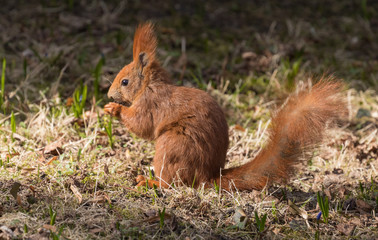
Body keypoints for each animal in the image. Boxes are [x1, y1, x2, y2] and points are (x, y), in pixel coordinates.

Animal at [103, 23, 346, 191]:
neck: (148, 86)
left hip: (172, 146)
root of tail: (207, 177)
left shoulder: (151, 103)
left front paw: (113, 109)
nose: (108, 94)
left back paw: (151, 182)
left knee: (173, 183)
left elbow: (141, 124)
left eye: (125, 81)